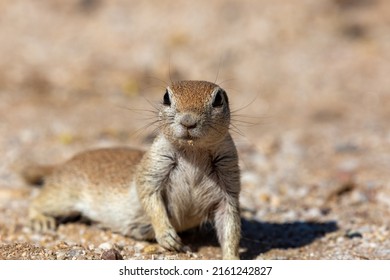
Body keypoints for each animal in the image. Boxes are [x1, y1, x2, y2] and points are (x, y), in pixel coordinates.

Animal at [24, 80, 241, 260]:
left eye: (218, 99)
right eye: (166, 97)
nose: (188, 121)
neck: (194, 151)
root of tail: (67, 161)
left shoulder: (228, 179)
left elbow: (230, 223)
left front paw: (232, 258)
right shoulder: (154, 167)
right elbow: (149, 195)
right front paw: (166, 235)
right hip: (64, 194)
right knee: (38, 201)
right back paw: (40, 219)